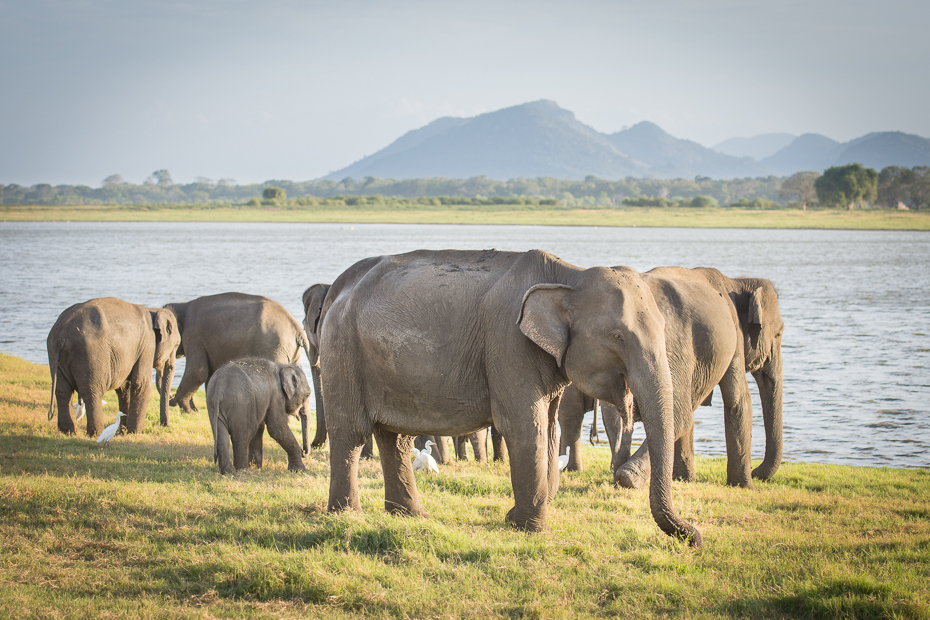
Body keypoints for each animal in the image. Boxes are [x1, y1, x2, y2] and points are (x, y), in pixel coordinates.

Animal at [46, 296, 181, 436]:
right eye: (176, 345)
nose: (165, 425)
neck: (153, 310)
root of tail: (60, 336)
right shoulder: (147, 345)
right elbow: (141, 384)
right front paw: (134, 433)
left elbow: (124, 387)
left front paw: (123, 432)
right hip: (90, 355)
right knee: (92, 392)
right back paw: (96, 433)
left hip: (55, 356)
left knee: (63, 392)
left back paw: (68, 432)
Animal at [165, 292, 314, 426]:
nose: (170, 398)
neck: (183, 305)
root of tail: (296, 327)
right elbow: (210, 376)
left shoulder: (194, 335)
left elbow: (198, 372)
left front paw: (180, 405)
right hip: (291, 352)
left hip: (274, 347)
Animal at [318, 249, 696, 544]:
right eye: (617, 336)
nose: (694, 538)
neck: (569, 275)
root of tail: (339, 285)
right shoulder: (508, 344)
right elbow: (526, 427)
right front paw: (529, 528)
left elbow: (550, 427)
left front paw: (519, 517)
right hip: (342, 351)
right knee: (351, 434)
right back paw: (346, 515)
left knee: (393, 438)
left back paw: (411, 516)